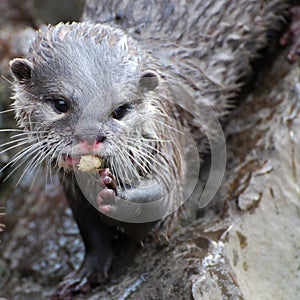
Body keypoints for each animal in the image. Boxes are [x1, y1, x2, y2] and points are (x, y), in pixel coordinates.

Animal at [7, 0, 290, 296]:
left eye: (120, 109)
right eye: (60, 104)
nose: (90, 137)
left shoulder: (171, 139)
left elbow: (165, 207)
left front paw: (117, 196)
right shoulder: (73, 192)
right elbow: (91, 233)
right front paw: (85, 275)